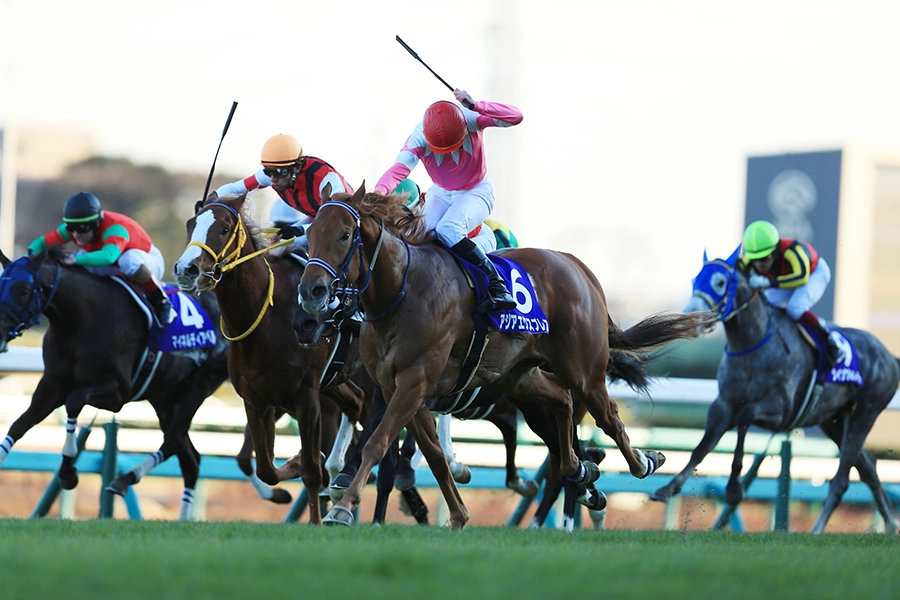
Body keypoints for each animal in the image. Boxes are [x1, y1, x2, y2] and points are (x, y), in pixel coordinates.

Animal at [0, 246, 230, 519]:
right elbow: (19, 424)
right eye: (0, 285)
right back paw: (182, 519)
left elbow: (74, 402)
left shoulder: (118, 392)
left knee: (174, 440)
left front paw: (68, 473)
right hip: (165, 398)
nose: (0, 330)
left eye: (24, 290)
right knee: (190, 459)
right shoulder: (52, 385)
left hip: (200, 385)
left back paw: (123, 480)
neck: (80, 319)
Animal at [173, 193, 366, 524]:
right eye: (190, 224)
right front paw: (293, 466)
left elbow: (311, 472)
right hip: (335, 381)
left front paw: (315, 518)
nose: (187, 270)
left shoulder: (306, 398)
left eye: (224, 229)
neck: (267, 317)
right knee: (356, 402)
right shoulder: (257, 400)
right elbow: (266, 468)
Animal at [295, 184, 716, 529]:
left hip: (583, 371)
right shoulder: (397, 388)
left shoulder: (415, 381)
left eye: (345, 234)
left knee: (608, 417)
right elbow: (432, 454)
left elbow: (378, 442)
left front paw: (343, 507)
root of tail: (581, 268)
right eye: (309, 233)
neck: (402, 290)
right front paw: (459, 515)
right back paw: (580, 469)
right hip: (518, 376)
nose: (311, 292)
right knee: (561, 406)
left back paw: (643, 462)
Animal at [650, 247, 900, 534]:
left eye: (720, 282)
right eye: (694, 281)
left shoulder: (780, 411)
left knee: (842, 478)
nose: (691, 319)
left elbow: (744, 419)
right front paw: (666, 489)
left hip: (865, 414)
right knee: (868, 467)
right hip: (834, 421)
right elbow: (701, 449)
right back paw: (891, 523)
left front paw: (734, 489)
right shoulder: (722, 404)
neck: (751, 346)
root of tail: (890, 357)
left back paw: (817, 529)